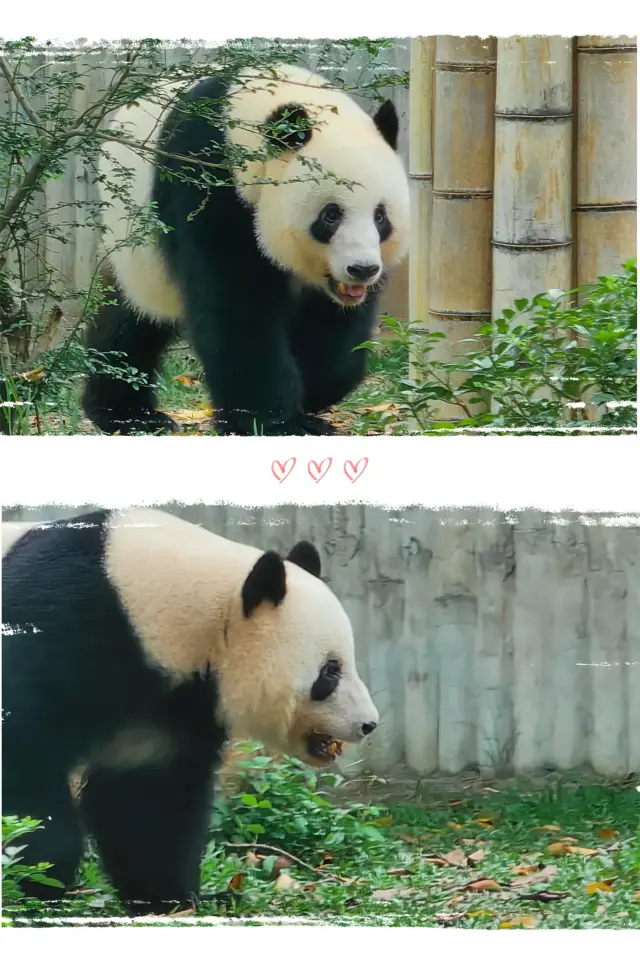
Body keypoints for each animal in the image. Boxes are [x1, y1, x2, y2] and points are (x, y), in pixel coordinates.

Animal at [82, 61, 410, 436]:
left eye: (381, 216)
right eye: (331, 215)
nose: (362, 269)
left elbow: (336, 331)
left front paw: (312, 392)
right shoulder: (207, 181)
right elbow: (236, 307)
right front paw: (276, 422)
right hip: (135, 244)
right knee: (135, 319)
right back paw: (127, 414)